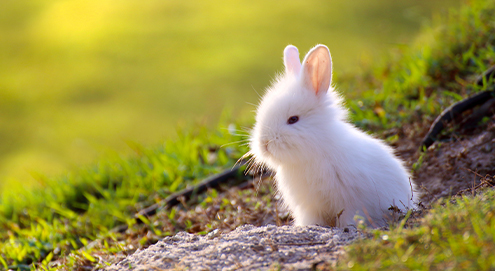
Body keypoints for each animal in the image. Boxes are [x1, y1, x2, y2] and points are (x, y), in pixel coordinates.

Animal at [248, 45, 418, 228]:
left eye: (293, 119)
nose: (264, 144)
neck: (312, 154)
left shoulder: (352, 202)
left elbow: (351, 217)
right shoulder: (310, 208)